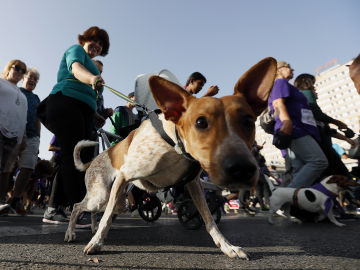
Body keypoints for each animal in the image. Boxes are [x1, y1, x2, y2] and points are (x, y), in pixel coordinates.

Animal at [64, 57, 278, 260]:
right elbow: (107, 217)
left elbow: (209, 219)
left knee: (93, 211)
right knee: (78, 207)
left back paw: (92, 228)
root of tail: (93, 161)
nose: (243, 169)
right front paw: (96, 243)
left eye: (248, 121)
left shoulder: (194, 184)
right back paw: (71, 232)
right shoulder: (125, 176)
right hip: (101, 195)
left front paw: (227, 247)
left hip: (110, 197)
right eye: (200, 122)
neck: (174, 146)